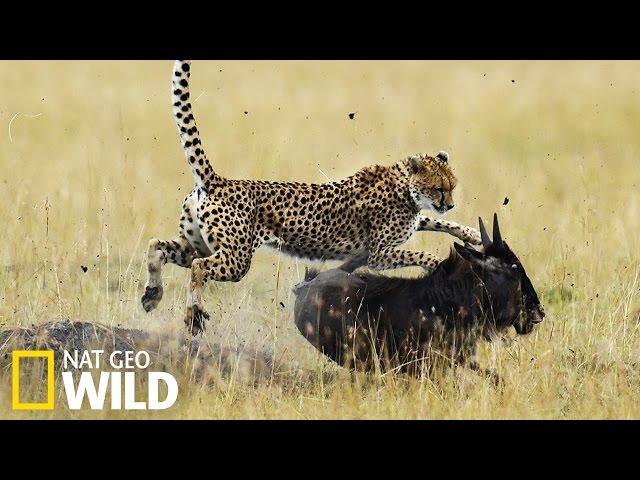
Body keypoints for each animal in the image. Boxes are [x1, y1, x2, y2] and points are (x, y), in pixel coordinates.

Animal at [140, 60, 480, 334]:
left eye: (452, 186)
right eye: (440, 188)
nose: (450, 203)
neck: (404, 186)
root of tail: (218, 181)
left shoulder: (399, 231)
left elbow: (433, 221)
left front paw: (472, 234)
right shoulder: (379, 254)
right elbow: (420, 252)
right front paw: (441, 263)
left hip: (196, 243)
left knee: (158, 247)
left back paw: (152, 296)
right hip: (236, 259)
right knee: (198, 267)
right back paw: (192, 315)